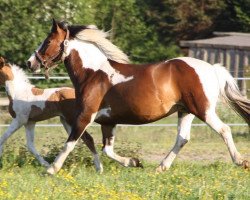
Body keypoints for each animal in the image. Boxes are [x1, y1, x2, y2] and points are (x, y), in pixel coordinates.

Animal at [27, 19, 250, 174]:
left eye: (47, 41)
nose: (31, 63)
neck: (92, 74)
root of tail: (212, 68)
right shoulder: (108, 121)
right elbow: (107, 150)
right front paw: (134, 162)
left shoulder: (85, 116)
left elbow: (70, 142)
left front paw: (51, 169)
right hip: (185, 111)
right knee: (182, 138)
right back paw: (161, 167)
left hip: (203, 110)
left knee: (224, 129)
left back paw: (240, 161)